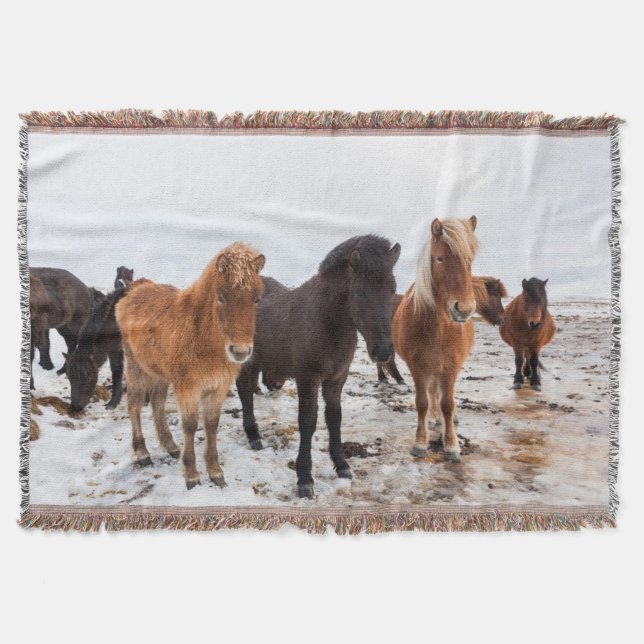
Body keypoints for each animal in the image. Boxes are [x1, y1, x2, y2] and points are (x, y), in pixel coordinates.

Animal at [116, 243, 265, 489]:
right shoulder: (188, 388)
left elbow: (211, 424)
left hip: (160, 373)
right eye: (221, 297)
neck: (202, 336)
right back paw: (143, 453)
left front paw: (215, 472)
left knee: (157, 403)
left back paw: (170, 446)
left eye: (256, 299)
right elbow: (190, 425)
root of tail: (136, 289)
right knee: (134, 405)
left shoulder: (218, 386)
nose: (240, 351)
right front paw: (192, 475)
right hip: (137, 367)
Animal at [236, 235, 401, 499]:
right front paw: (305, 479)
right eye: (359, 291)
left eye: (393, 289)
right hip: (247, 361)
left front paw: (342, 466)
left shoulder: (336, 379)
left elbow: (334, 418)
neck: (327, 323)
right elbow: (308, 421)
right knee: (244, 392)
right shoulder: (308, 378)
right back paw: (254, 436)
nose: (383, 351)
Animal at [392, 216, 479, 462]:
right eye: (439, 258)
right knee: (432, 394)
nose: (464, 309)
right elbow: (422, 402)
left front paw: (451, 445)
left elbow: (447, 404)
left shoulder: (451, 365)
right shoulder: (418, 366)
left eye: (470, 260)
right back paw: (433, 418)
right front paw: (420, 443)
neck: (438, 328)